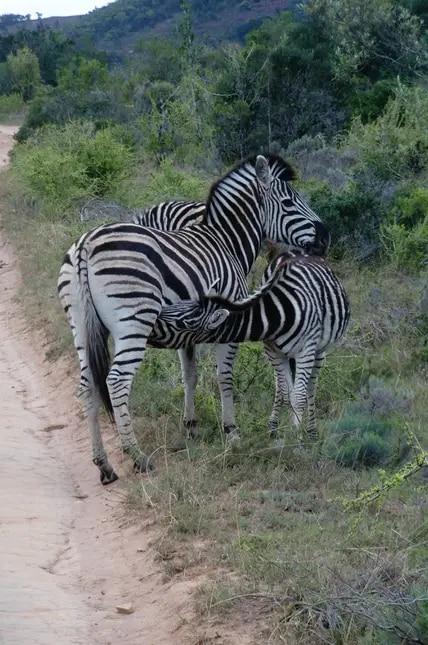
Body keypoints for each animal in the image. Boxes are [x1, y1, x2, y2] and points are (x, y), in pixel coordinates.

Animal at [59, 154, 330, 483]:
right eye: (289, 202)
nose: (326, 235)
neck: (228, 243)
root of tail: (86, 244)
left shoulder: (188, 333)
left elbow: (190, 376)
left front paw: (190, 426)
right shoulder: (227, 323)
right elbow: (224, 377)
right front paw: (232, 432)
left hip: (80, 325)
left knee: (87, 385)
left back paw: (104, 464)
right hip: (134, 321)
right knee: (116, 381)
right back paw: (137, 457)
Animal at [158, 251, 350, 440]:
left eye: (183, 323)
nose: (155, 319)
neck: (277, 313)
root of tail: (302, 253)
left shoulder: (306, 350)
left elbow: (298, 396)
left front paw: (296, 438)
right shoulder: (273, 350)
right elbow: (287, 393)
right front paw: (288, 434)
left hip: (319, 351)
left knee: (310, 388)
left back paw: (311, 432)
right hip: (280, 355)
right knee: (280, 387)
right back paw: (274, 428)